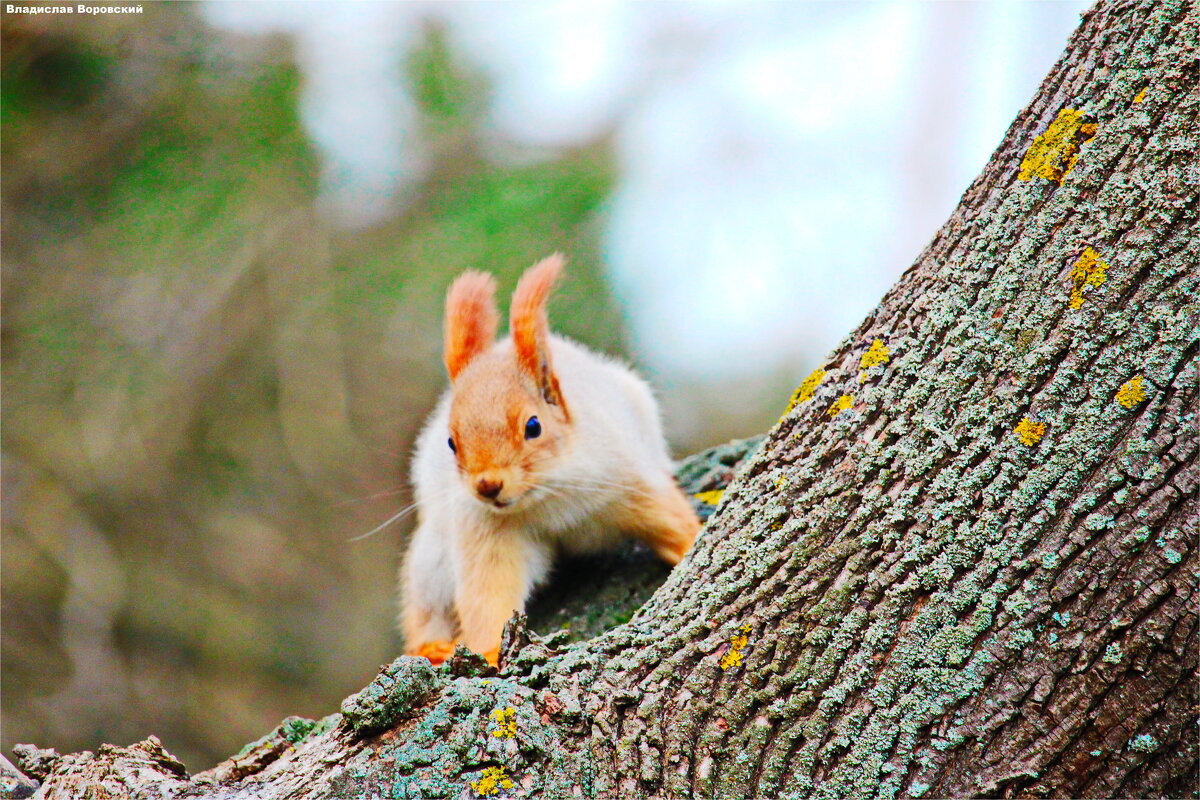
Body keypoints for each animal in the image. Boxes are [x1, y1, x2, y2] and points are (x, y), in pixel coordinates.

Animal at [403, 253, 700, 666]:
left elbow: (670, 520)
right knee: (425, 611)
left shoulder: (627, 478)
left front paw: (695, 543)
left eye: (533, 426)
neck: (547, 496)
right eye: (451, 442)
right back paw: (432, 647)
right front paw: (488, 652)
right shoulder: (485, 530)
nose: (488, 486)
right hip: (430, 561)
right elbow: (489, 594)